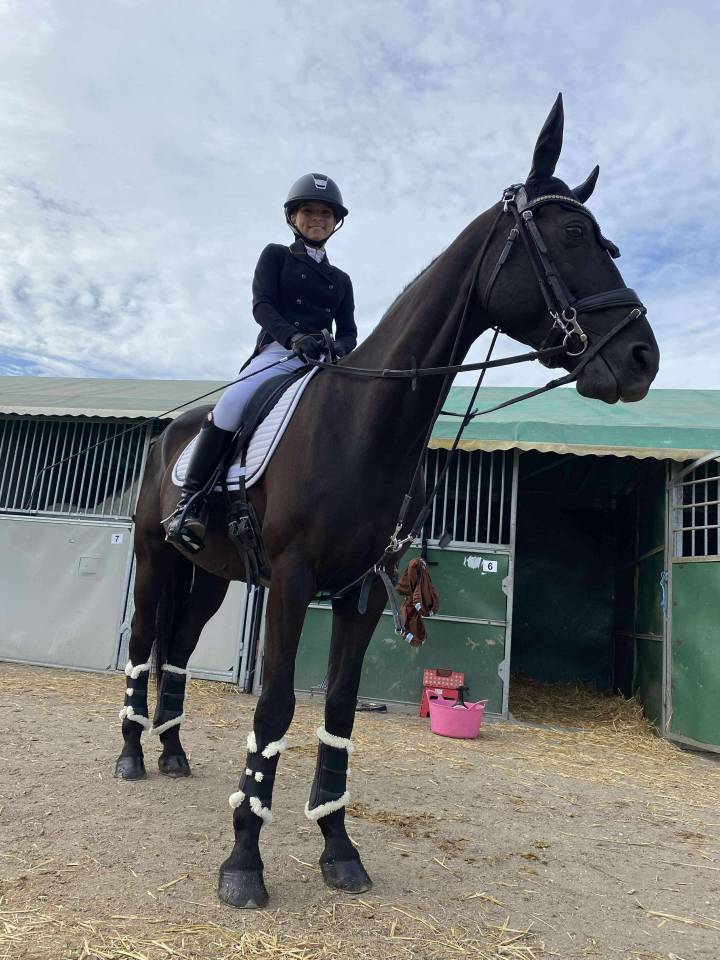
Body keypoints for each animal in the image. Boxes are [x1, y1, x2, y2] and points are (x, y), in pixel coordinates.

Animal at [114, 94, 659, 909]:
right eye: (571, 236)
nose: (641, 359)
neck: (360, 423)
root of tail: (171, 433)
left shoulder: (364, 591)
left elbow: (339, 711)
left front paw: (339, 848)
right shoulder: (294, 582)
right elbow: (276, 706)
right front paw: (244, 860)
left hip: (212, 576)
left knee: (176, 651)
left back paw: (173, 752)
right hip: (155, 560)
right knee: (143, 642)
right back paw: (130, 756)